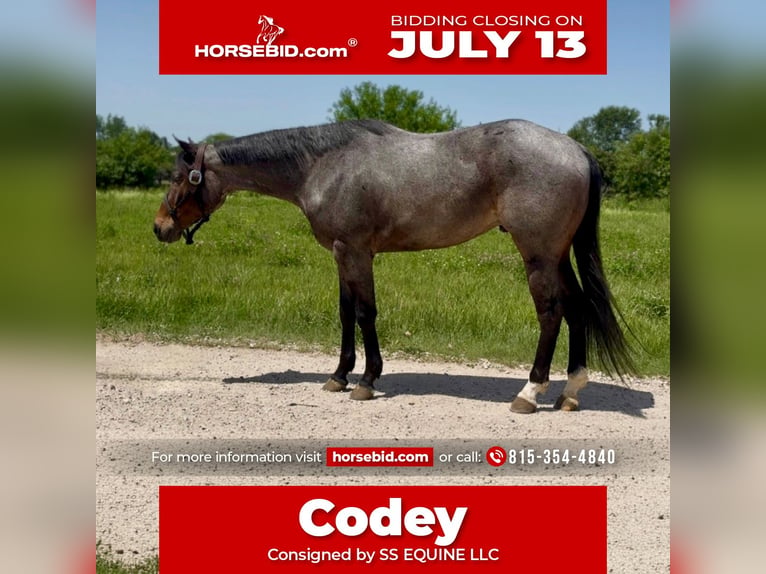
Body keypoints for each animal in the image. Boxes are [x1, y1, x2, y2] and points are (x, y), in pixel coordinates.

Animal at [154, 119, 633, 413]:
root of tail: (576, 149)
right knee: (576, 308)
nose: (160, 228)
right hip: (557, 254)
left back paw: (531, 392)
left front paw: (366, 381)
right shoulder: (342, 254)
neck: (323, 165)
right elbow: (346, 314)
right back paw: (570, 392)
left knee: (551, 313)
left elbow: (366, 314)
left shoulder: (355, 252)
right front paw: (338, 376)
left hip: (538, 255)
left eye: (179, 178)